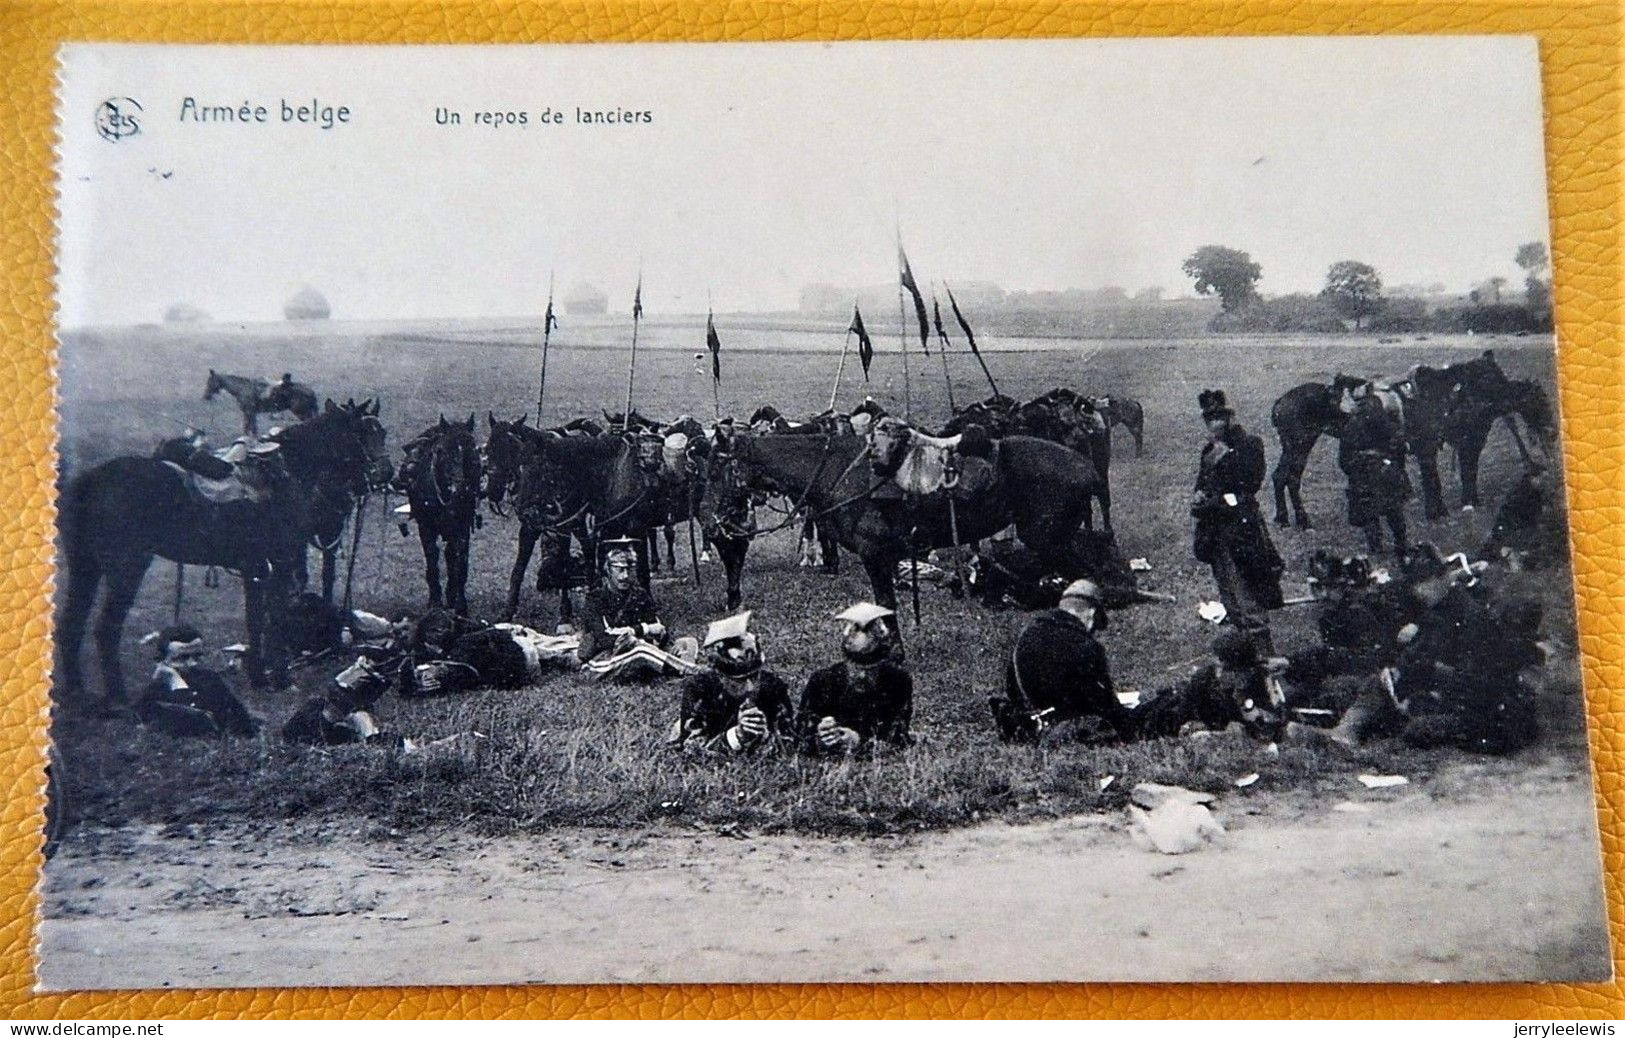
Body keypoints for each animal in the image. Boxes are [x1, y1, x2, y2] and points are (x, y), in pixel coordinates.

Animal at [58, 397, 393, 708]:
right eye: (360, 433)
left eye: (383, 432)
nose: (385, 473)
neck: (289, 473)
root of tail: (93, 479)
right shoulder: (280, 561)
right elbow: (275, 617)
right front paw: (280, 678)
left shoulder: (255, 566)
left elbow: (256, 619)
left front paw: (259, 675)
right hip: (127, 569)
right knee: (105, 629)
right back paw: (118, 698)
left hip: (85, 568)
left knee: (71, 623)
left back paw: (77, 693)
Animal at [399, 409, 481, 614]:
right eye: (442, 451)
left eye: (472, 449)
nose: (459, 489)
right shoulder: (426, 527)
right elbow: (432, 558)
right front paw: (435, 601)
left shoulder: (462, 527)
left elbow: (460, 561)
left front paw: (459, 604)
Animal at [1267, 354, 1547, 526]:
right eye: (1539, 400)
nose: (1549, 432)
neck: (1442, 395)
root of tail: (1280, 403)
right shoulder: (1429, 447)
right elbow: (1434, 480)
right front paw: (1438, 512)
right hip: (1300, 444)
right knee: (1290, 478)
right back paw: (1302, 520)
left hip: (1294, 446)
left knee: (1280, 476)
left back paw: (1283, 518)